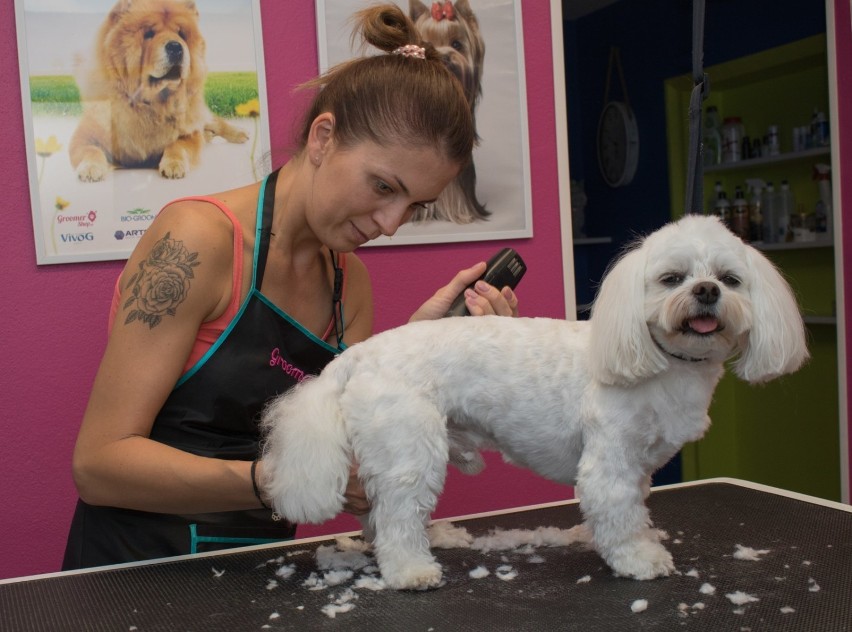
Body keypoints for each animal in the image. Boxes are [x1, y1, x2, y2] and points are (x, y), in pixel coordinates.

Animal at [260, 215, 804, 592]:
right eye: (672, 278)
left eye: (731, 279)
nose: (707, 290)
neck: (662, 363)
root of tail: (358, 356)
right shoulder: (610, 461)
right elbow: (618, 515)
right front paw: (639, 560)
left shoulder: (639, 466)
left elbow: (636, 510)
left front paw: (644, 544)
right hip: (408, 446)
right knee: (395, 514)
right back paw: (411, 569)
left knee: (378, 514)